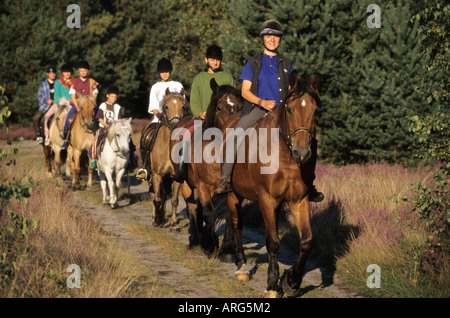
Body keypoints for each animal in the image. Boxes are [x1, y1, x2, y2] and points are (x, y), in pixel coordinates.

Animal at [139, 88, 185, 227]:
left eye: (183, 106)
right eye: (166, 106)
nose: (176, 125)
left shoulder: (175, 177)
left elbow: (174, 200)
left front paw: (173, 222)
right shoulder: (157, 175)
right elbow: (157, 198)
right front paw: (157, 219)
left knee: (164, 195)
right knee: (154, 194)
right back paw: (156, 217)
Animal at [171, 78, 243, 258]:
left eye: (240, 107)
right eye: (219, 108)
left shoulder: (229, 190)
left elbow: (230, 214)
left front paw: (228, 251)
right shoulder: (203, 186)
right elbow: (208, 212)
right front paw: (210, 244)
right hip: (186, 183)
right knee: (192, 206)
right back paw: (196, 242)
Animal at [216, 72, 322, 298]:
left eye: (315, 110)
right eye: (289, 109)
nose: (302, 153)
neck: (286, 156)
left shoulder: (299, 200)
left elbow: (307, 241)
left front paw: (292, 282)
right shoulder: (267, 200)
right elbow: (273, 242)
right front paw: (273, 285)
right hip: (233, 194)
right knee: (237, 225)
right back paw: (241, 267)